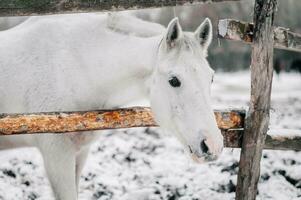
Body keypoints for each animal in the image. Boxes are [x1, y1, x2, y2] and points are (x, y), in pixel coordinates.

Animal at [0, 13, 223, 199]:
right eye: (174, 80)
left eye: (211, 77)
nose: (212, 145)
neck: (70, 69)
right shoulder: (57, 157)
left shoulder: (79, 153)